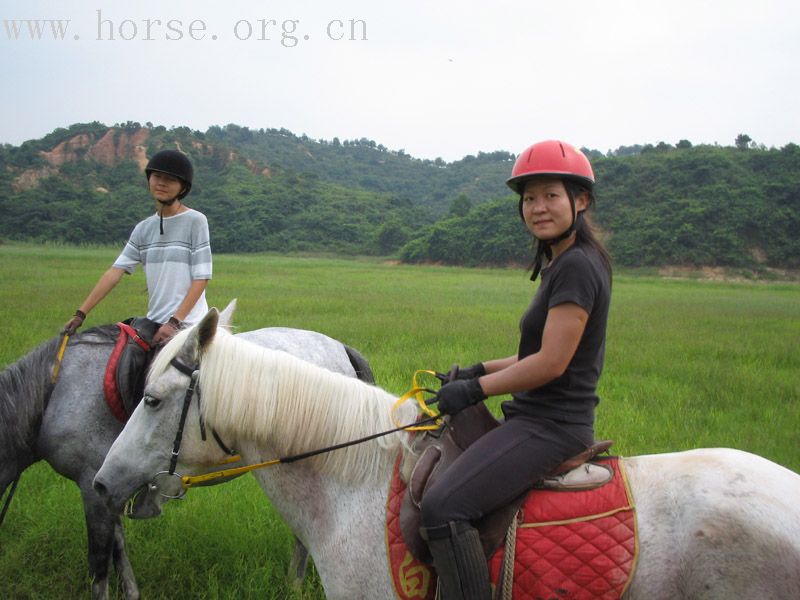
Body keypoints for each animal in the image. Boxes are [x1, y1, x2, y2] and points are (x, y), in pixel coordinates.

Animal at [0, 316, 372, 596]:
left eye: (151, 400)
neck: (52, 394)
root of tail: (341, 348)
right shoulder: (107, 485)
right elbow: (118, 546)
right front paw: (132, 592)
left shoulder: (92, 484)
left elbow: (99, 563)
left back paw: (294, 583)